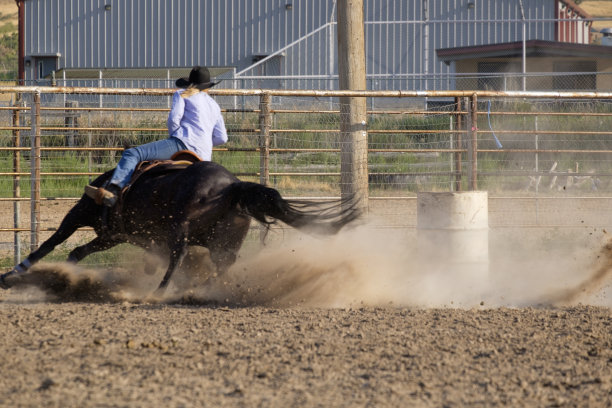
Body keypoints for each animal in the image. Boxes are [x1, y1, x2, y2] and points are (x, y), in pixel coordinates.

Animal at [0, 160, 360, 294]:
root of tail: (232, 186)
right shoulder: (116, 235)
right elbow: (76, 250)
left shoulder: (84, 218)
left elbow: (51, 243)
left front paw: (13, 274)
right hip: (224, 242)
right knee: (221, 265)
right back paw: (203, 289)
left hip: (179, 228)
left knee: (179, 255)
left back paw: (161, 291)